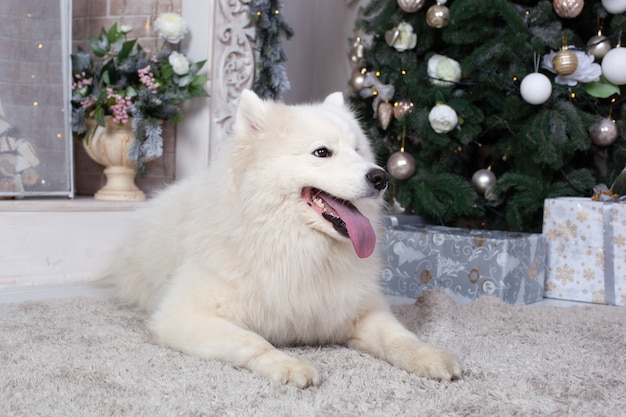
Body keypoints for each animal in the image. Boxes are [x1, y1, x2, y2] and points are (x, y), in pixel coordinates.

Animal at [106, 88, 458, 386]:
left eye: (358, 150)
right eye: (322, 152)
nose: (381, 177)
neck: (296, 245)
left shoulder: (362, 311)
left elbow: (398, 337)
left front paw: (428, 356)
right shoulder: (182, 316)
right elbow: (252, 340)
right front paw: (288, 365)